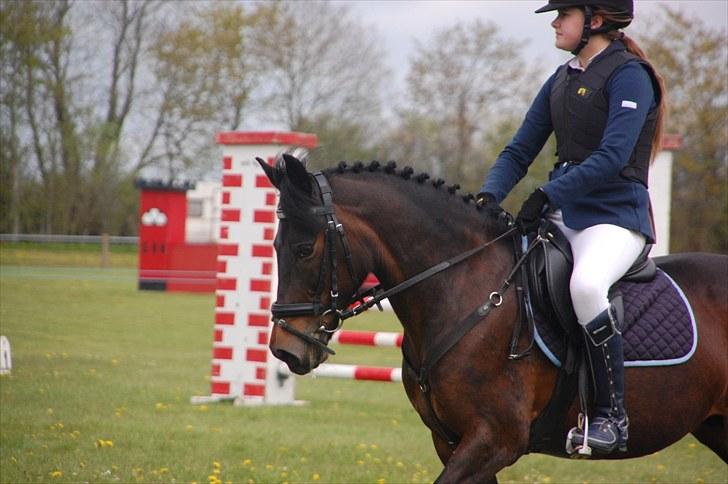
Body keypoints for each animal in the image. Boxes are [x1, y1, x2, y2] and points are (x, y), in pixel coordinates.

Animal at [257, 154, 728, 483]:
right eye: (276, 246)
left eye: (304, 250)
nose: (285, 349)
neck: (463, 288)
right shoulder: (452, 441)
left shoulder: (494, 439)